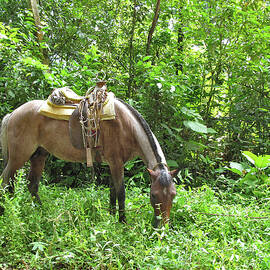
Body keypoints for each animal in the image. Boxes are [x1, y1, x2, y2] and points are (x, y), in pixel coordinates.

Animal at [0, 98, 179, 227]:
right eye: (153, 195)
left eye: (173, 195)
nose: (162, 227)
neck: (127, 127)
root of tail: (12, 114)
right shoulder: (116, 163)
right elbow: (121, 193)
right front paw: (122, 222)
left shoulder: (114, 164)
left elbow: (112, 191)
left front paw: (110, 216)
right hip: (18, 157)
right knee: (5, 181)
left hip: (38, 156)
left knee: (31, 185)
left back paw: (42, 213)